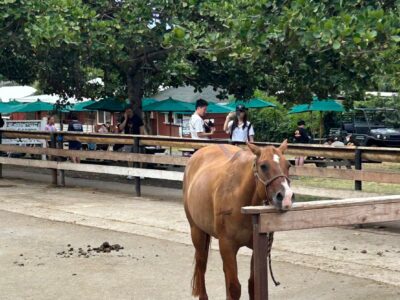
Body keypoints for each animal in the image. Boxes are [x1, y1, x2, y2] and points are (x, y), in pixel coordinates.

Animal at [184, 141, 294, 300]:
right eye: (263, 166)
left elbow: (252, 284)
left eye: (288, 165)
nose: (286, 197)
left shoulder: (258, 245)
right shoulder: (227, 245)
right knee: (201, 265)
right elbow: (234, 287)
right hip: (197, 232)